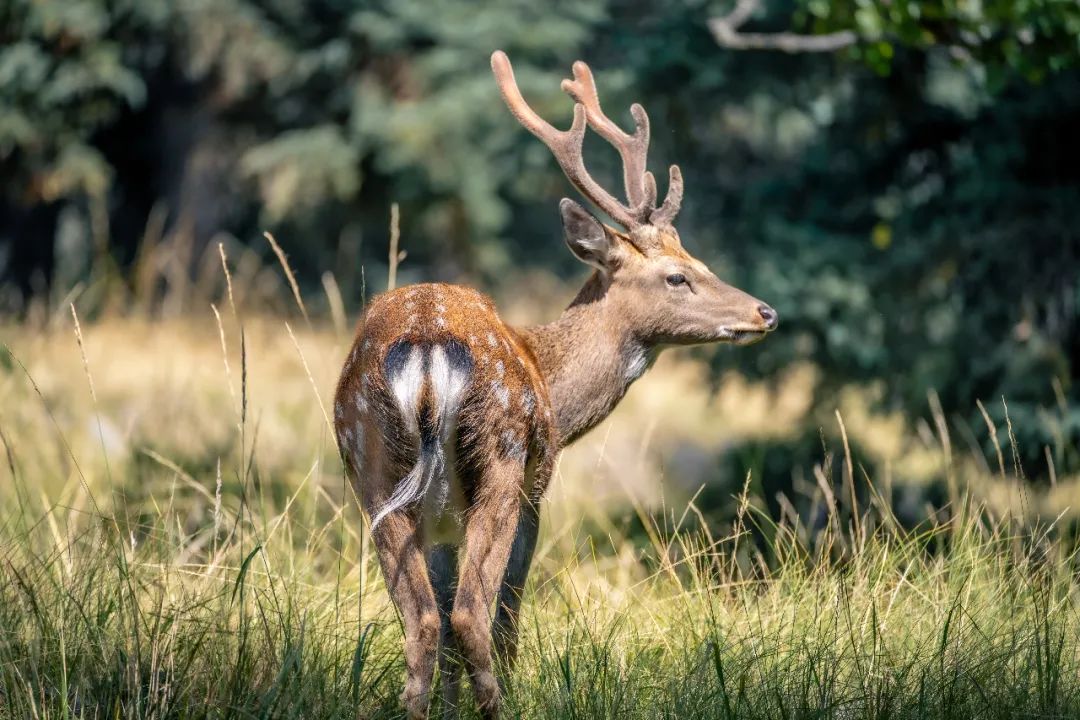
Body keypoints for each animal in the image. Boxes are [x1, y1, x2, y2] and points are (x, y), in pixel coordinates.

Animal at [332, 50, 781, 720]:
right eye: (678, 276)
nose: (765, 312)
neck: (549, 373)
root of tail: (427, 343)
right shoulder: (537, 486)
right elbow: (507, 612)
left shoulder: (437, 515)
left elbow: (439, 610)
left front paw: (449, 705)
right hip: (499, 455)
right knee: (471, 616)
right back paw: (500, 706)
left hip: (374, 467)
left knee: (424, 622)